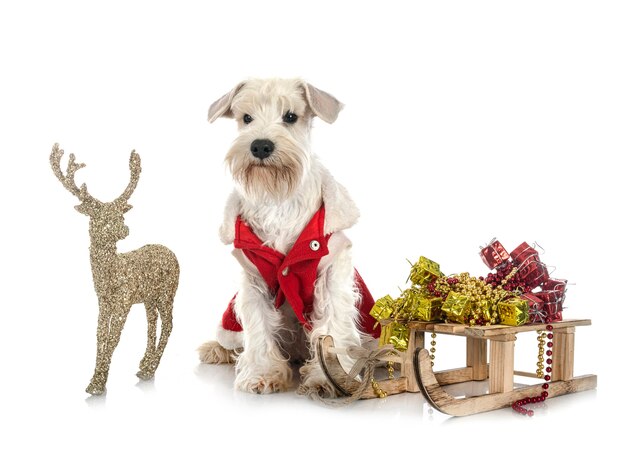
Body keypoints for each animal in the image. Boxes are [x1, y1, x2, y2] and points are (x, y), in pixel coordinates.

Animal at [197, 79, 378, 396]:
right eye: (246, 118)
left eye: (291, 116)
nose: (260, 145)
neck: (278, 197)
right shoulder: (254, 279)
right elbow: (257, 326)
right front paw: (261, 374)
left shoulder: (331, 273)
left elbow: (332, 325)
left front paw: (329, 378)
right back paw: (215, 349)